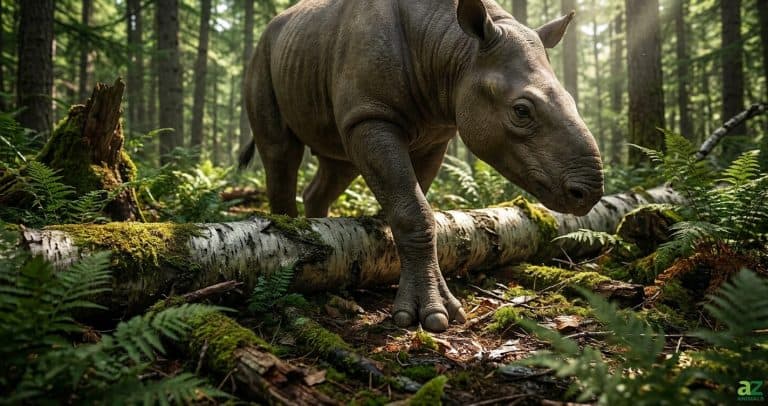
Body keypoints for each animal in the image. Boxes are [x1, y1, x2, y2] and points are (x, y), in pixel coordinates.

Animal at [240, 0, 604, 332]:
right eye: (521, 111)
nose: (588, 194)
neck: (455, 48)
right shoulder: (371, 114)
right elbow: (414, 210)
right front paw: (429, 316)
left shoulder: (436, 131)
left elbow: (416, 199)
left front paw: (383, 236)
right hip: (263, 53)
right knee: (280, 151)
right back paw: (289, 237)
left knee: (337, 162)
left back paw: (320, 234)